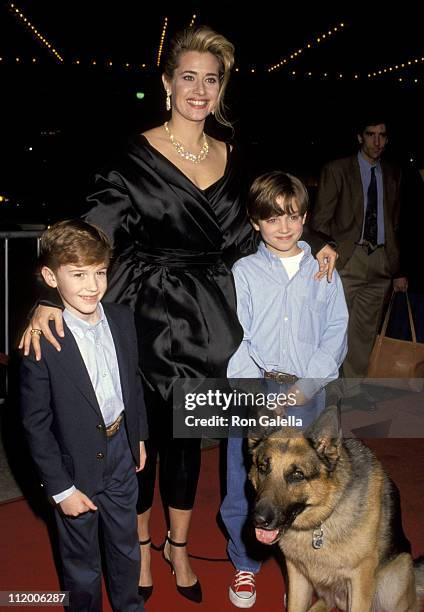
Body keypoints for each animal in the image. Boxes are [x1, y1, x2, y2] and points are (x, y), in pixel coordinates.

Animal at [248, 404, 424, 608]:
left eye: (297, 475)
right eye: (262, 468)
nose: (258, 520)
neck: (323, 518)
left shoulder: (360, 583)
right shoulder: (297, 577)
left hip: (394, 580)